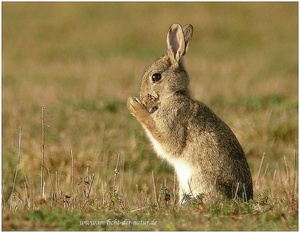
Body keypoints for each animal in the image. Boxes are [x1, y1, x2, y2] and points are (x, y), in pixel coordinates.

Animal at [126, 22, 253, 203]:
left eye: (156, 77)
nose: (144, 100)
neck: (174, 94)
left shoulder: (173, 121)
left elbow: (165, 138)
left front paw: (134, 106)